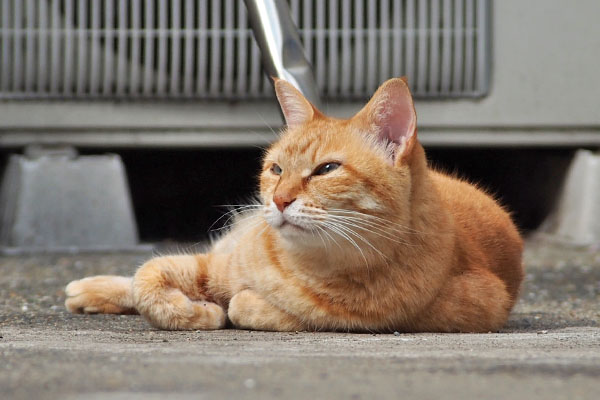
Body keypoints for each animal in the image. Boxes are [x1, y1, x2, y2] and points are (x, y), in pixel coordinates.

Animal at [65, 77, 524, 332]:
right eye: (276, 169)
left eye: (326, 169)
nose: (280, 199)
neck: (300, 263)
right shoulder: (215, 263)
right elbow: (148, 278)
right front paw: (191, 310)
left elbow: (250, 306)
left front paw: (220, 309)